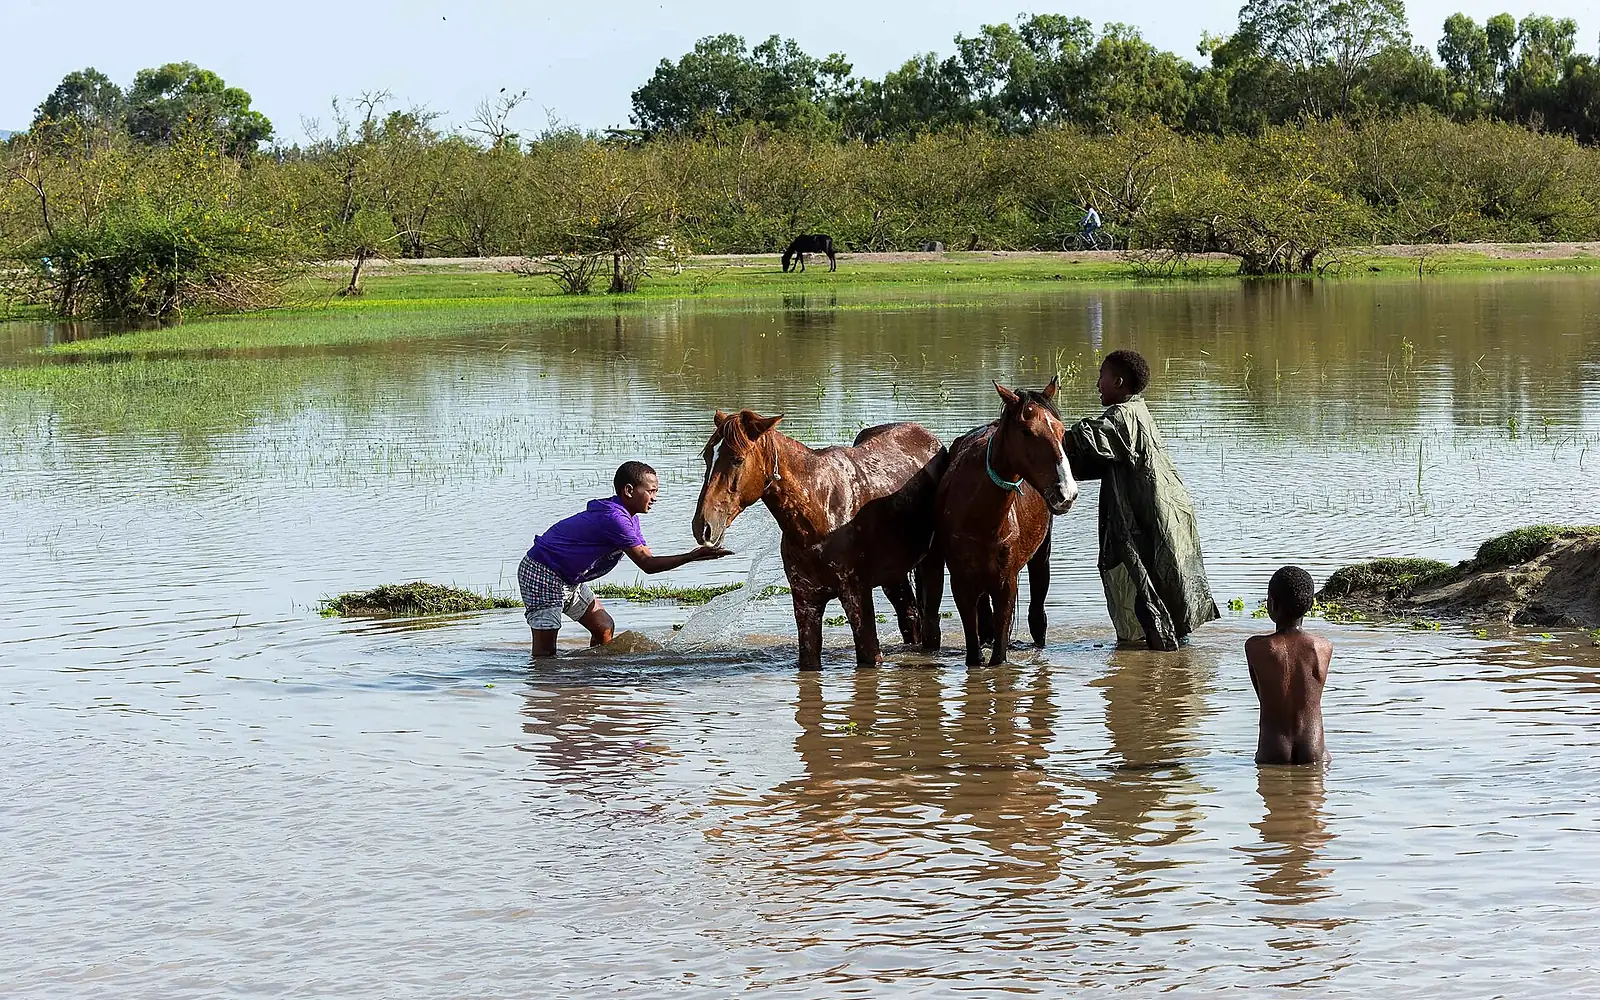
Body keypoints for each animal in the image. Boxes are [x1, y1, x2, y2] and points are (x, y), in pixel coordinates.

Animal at [692, 410, 945, 670]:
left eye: (737, 459)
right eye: (707, 457)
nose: (703, 527)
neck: (819, 509)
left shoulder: (856, 596)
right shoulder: (806, 602)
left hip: (929, 565)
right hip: (894, 576)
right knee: (910, 615)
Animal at [929, 377, 1079, 666]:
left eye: (1061, 430)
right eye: (1027, 431)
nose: (1066, 493)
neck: (978, 518)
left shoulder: (1006, 585)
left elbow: (999, 656)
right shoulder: (961, 586)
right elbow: (974, 654)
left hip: (1040, 558)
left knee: (1037, 617)